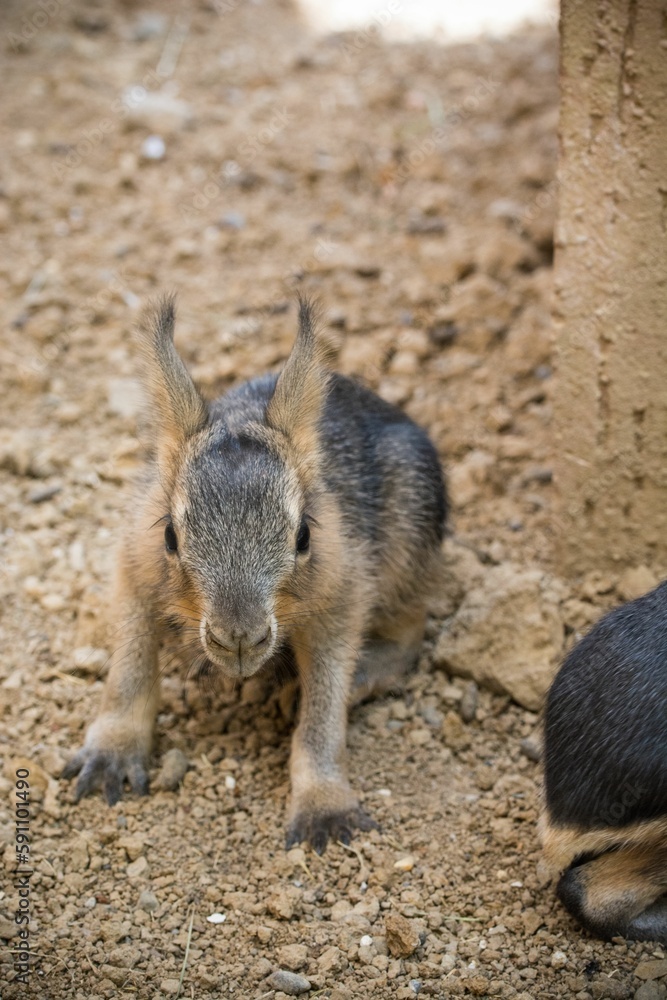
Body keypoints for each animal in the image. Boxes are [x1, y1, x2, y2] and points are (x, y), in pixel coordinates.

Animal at [63, 295, 447, 852]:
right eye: (170, 537)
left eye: (304, 536)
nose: (239, 638)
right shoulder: (134, 577)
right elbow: (129, 673)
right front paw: (110, 756)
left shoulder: (341, 602)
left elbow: (322, 719)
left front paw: (324, 807)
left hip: (406, 550)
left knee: (409, 638)